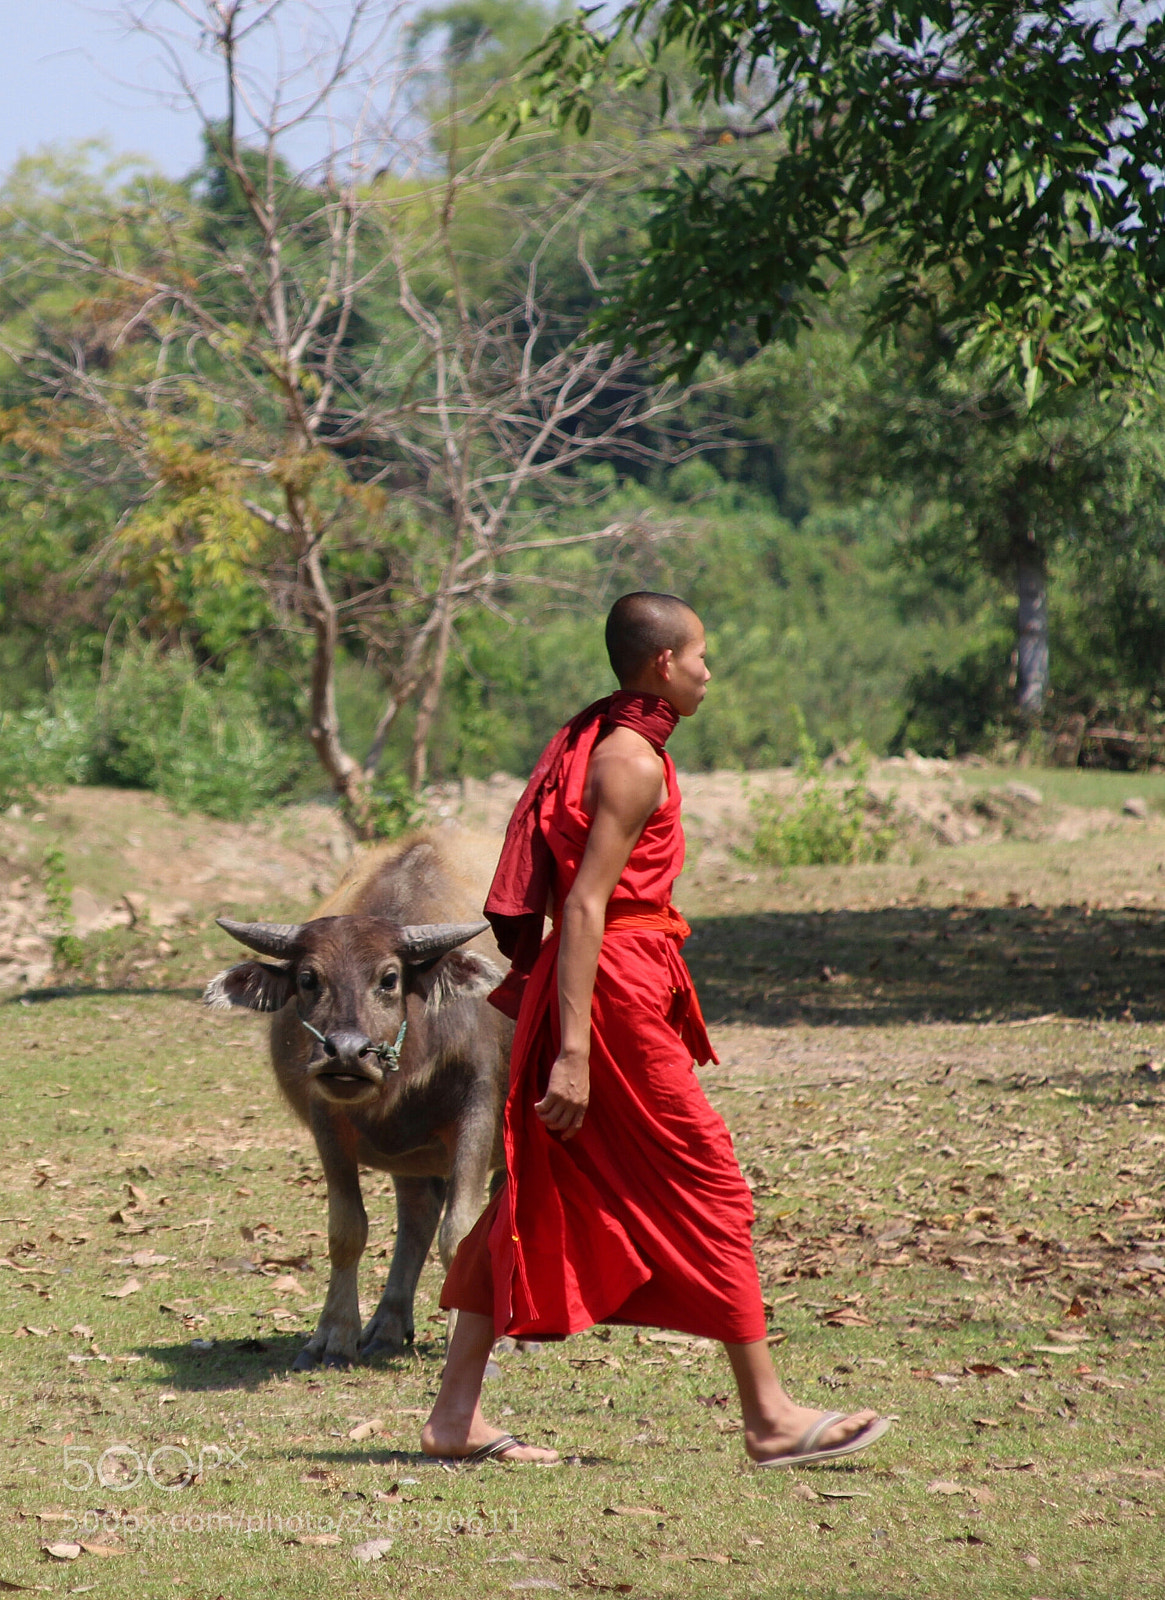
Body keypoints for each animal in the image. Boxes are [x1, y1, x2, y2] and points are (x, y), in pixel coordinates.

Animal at [204, 835, 509, 1368]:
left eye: (389, 978)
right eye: (309, 979)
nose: (345, 1052)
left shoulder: (477, 1111)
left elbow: (460, 1235)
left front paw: (472, 1350)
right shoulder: (328, 1121)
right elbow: (347, 1230)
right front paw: (332, 1336)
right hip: (412, 1153)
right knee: (417, 1214)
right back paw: (386, 1326)